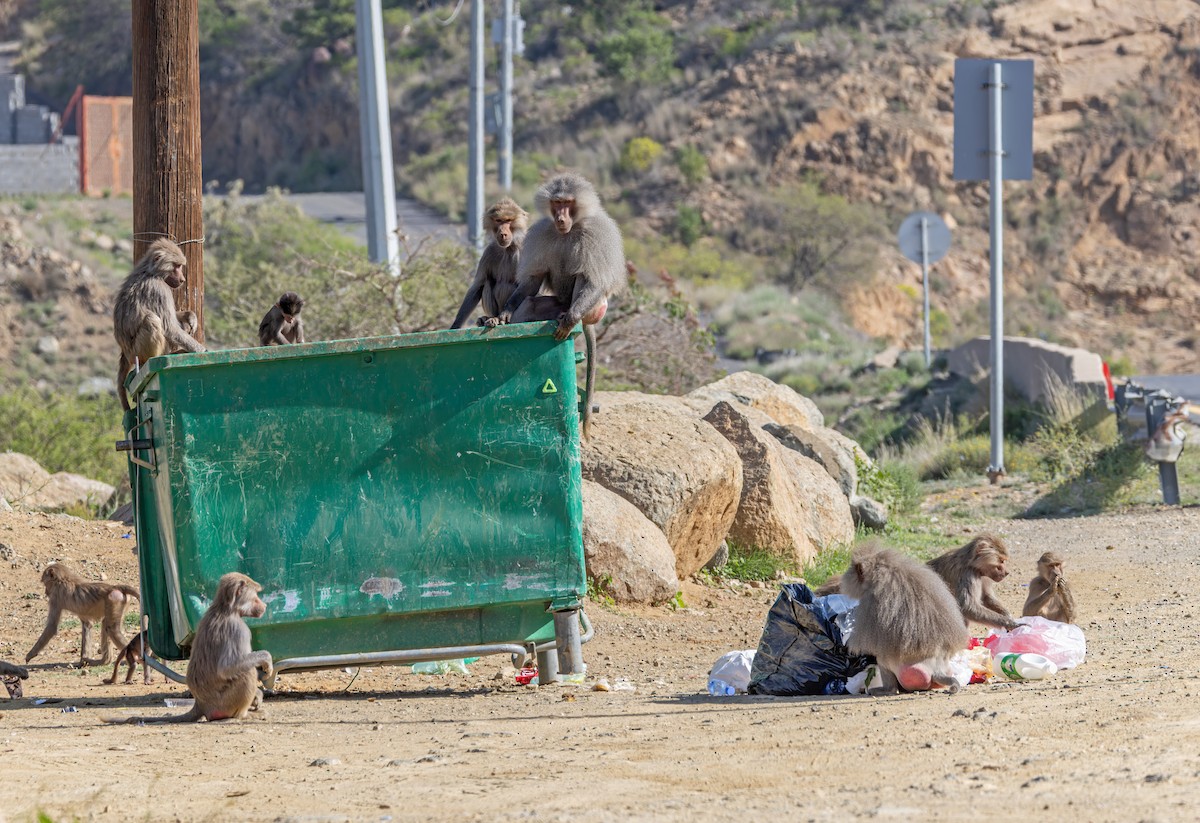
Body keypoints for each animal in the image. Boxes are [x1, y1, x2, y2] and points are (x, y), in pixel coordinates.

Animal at [106, 573, 272, 723]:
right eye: (256, 595)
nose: (264, 606)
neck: (225, 609)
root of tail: (201, 705)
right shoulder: (238, 630)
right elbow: (227, 668)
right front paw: (266, 660)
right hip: (225, 703)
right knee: (247, 672)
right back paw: (243, 715)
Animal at [112, 238, 206, 410]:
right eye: (176, 266)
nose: (182, 280)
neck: (150, 272)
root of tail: (125, 353)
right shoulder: (159, 289)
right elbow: (170, 327)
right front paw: (203, 351)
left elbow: (175, 321)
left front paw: (190, 316)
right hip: (136, 352)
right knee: (152, 320)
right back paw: (152, 360)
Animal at [450, 198, 529, 329]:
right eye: (499, 221)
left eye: (508, 220)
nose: (503, 234)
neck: (508, 248)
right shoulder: (489, 251)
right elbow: (478, 285)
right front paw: (455, 325)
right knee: (487, 282)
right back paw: (489, 318)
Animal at [497, 173, 627, 438]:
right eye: (556, 204)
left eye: (568, 203)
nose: (560, 218)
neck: (570, 229)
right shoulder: (541, 232)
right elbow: (532, 281)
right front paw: (504, 313)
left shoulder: (596, 234)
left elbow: (593, 279)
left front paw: (570, 320)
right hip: (553, 305)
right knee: (529, 305)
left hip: (594, 309)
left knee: (584, 276)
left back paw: (569, 316)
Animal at [838, 541, 968, 695]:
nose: (843, 577)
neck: (881, 572)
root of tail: (936, 670)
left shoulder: (871, 602)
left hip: (905, 669)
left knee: (883, 661)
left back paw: (885, 690)